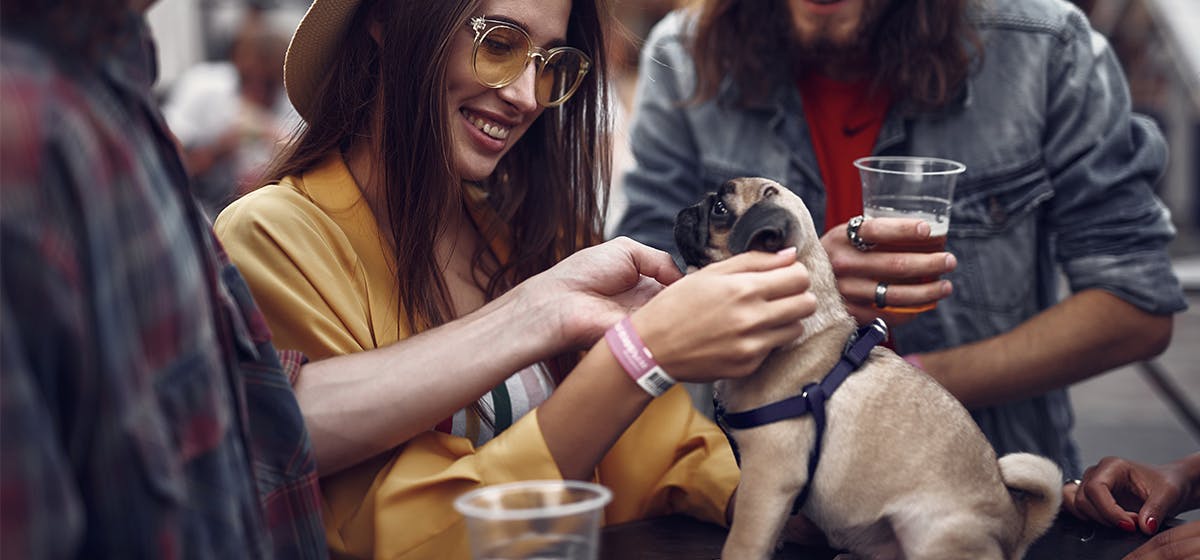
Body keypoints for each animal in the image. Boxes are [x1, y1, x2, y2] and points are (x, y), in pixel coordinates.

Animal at [676, 178, 1060, 560]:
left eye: (719, 209)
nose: (685, 210)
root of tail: (1017, 526)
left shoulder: (769, 476)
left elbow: (743, 539)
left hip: (928, 530)